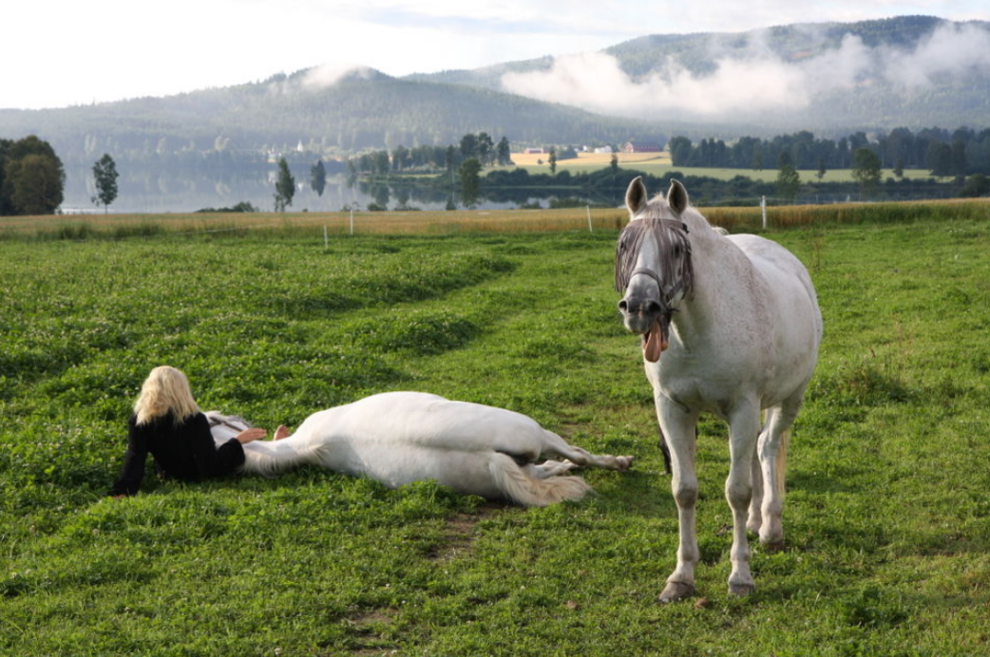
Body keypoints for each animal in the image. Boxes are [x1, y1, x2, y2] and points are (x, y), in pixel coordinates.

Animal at [207, 390, 636, 508]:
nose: (233, 414)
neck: (308, 445)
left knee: (544, 470)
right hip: (532, 429)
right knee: (575, 454)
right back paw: (619, 461)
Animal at [616, 178, 824, 600]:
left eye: (677, 249)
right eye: (625, 243)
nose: (641, 307)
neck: (697, 331)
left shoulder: (742, 408)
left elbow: (737, 491)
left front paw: (740, 576)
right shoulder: (673, 410)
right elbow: (684, 490)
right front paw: (681, 576)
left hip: (789, 400)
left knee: (768, 447)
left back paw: (771, 528)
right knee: (757, 451)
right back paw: (756, 523)